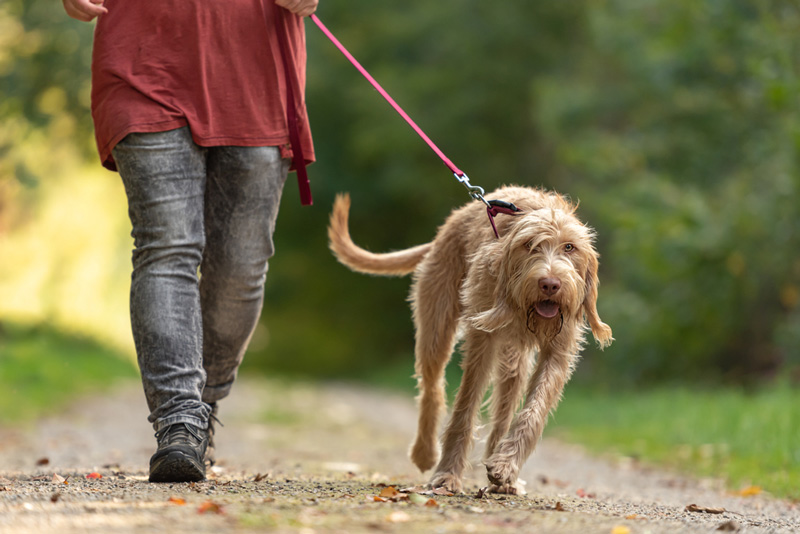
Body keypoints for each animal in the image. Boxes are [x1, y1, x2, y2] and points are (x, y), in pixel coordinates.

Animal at [326, 186, 612, 496]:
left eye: (569, 247)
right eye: (530, 245)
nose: (550, 284)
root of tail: (449, 224)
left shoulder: (558, 351)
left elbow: (533, 412)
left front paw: (506, 467)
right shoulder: (482, 341)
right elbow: (465, 406)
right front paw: (447, 474)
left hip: (514, 361)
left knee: (503, 409)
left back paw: (502, 473)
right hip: (436, 328)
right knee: (432, 388)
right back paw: (425, 452)